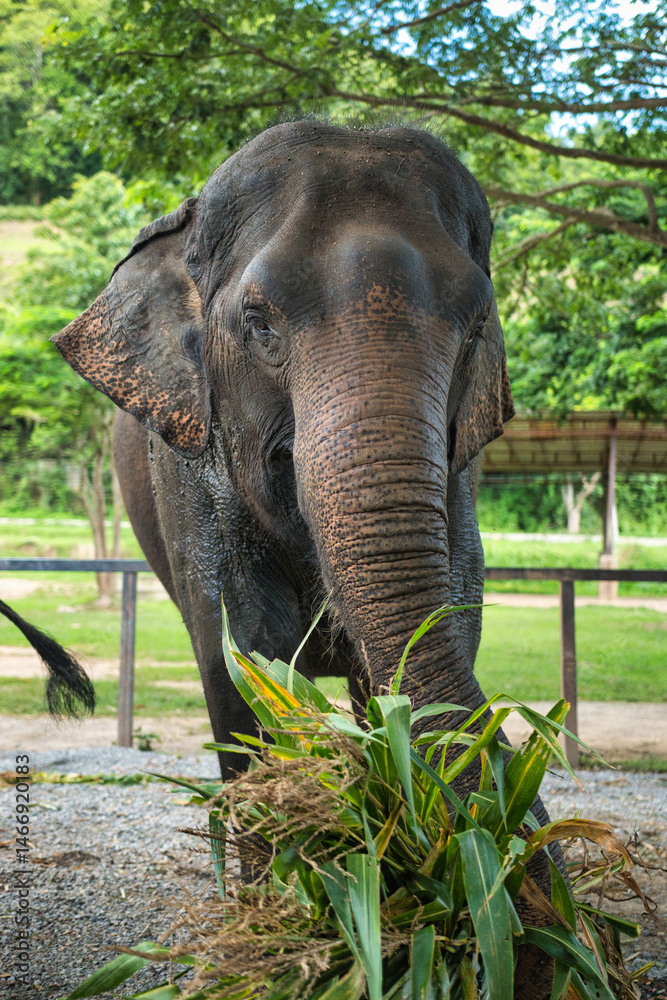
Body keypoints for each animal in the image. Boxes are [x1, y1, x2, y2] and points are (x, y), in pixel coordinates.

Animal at [0, 121, 560, 996]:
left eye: (476, 327)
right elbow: (242, 664)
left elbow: (418, 654)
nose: (529, 922)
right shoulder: (190, 467)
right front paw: (274, 932)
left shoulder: (462, 474)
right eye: (259, 324)